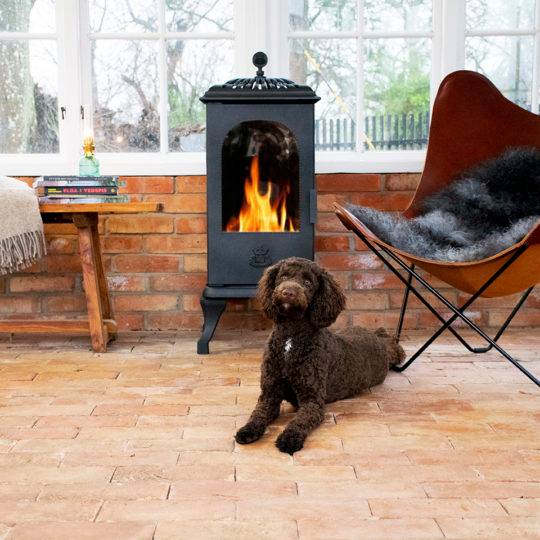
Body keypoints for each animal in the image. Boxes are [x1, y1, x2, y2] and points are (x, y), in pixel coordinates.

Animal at [236, 258, 404, 456]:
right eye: (283, 276)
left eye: (308, 282)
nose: (288, 292)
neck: (290, 336)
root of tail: (377, 338)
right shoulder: (269, 394)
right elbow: (258, 414)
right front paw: (247, 430)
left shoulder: (313, 401)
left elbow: (299, 421)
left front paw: (289, 438)